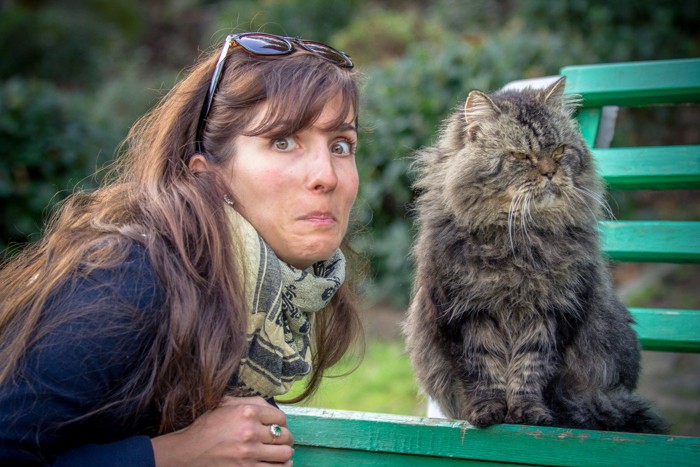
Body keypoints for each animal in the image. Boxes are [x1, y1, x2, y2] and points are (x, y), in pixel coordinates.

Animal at [404, 78, 668, 434]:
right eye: (521, 155)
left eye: (558, 151)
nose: (549, 173)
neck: (519, 240)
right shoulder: (465, 313)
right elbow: (484, 371)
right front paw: (489, 412)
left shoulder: (552, 313)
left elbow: (529, 370)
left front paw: (528, 413)